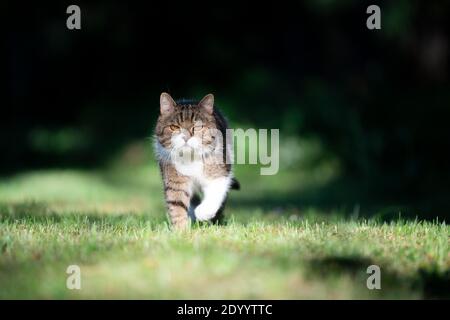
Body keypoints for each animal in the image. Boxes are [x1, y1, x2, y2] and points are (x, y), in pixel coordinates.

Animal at [155, 91, 239, 229]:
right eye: (174, 127)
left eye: (198, 126)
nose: (185, 137)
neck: (191, 157)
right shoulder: (174, 181)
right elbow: (177, 204)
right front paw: (181, 230)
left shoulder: (220, 173)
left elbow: (215, 192)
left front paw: (204, 212)